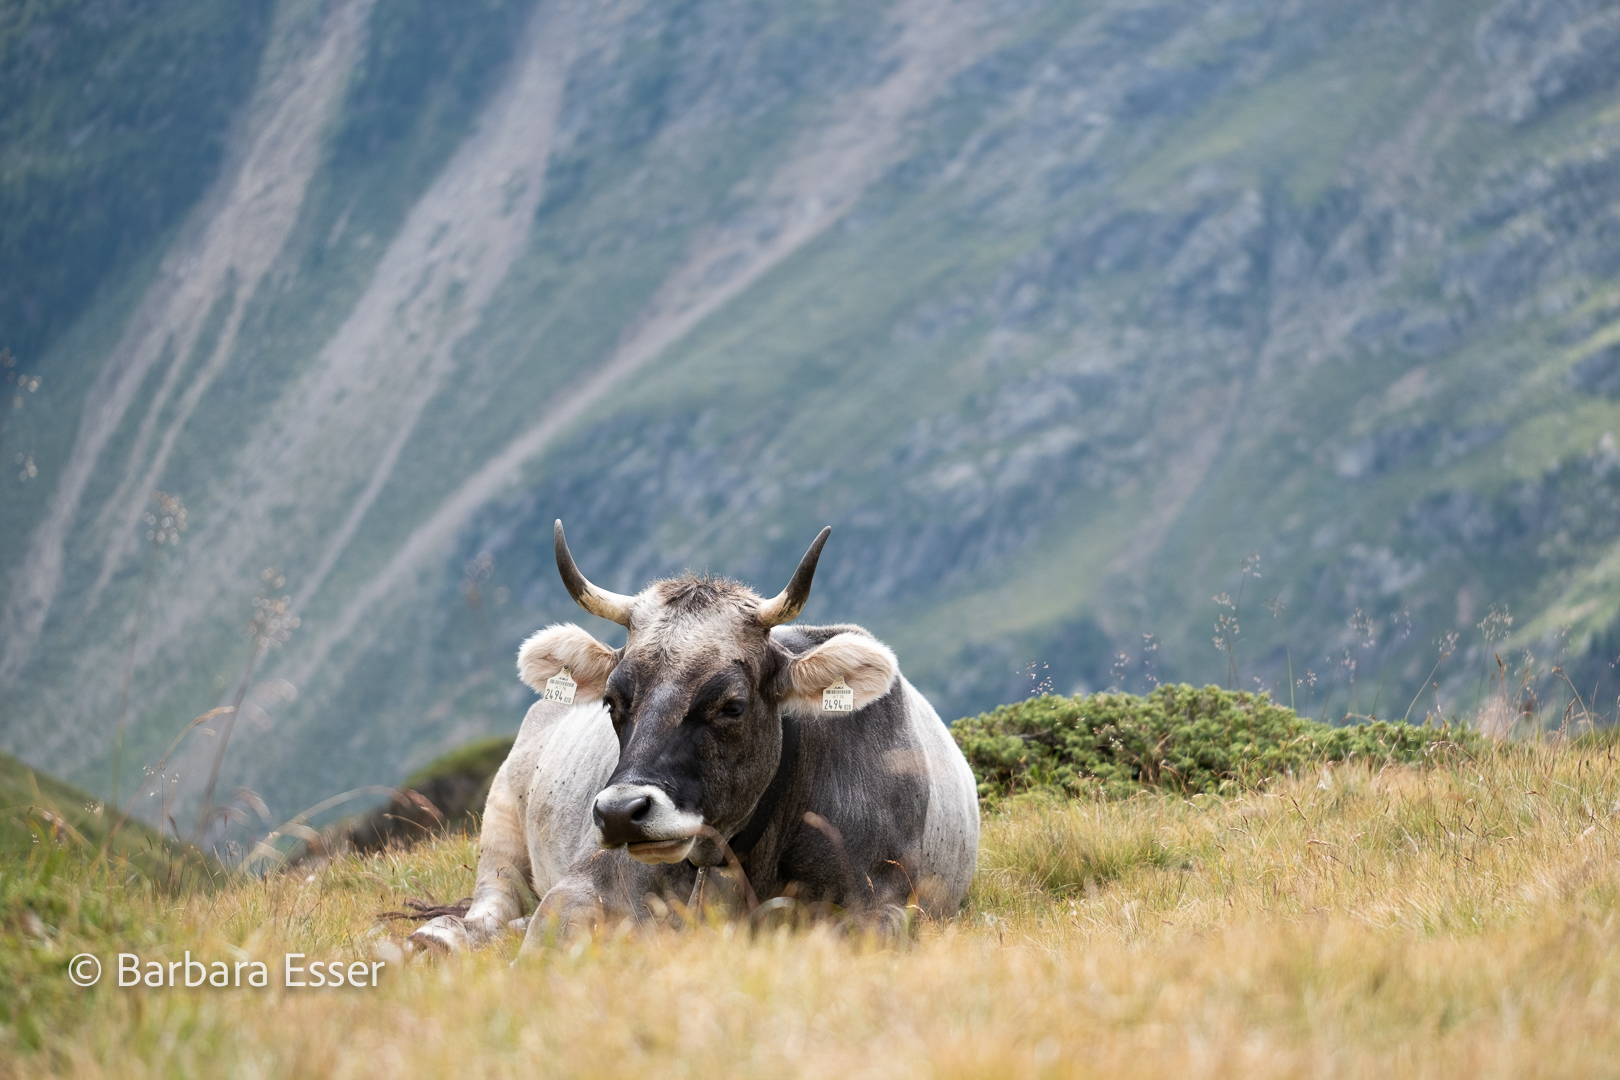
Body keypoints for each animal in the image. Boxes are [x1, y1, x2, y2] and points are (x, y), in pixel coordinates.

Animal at [411, 524, 978, 952]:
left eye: (732, 705)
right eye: (612, 701)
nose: (620, 813)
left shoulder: (885, 898)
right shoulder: (582, 882)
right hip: (500, 819)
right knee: (489, 904)